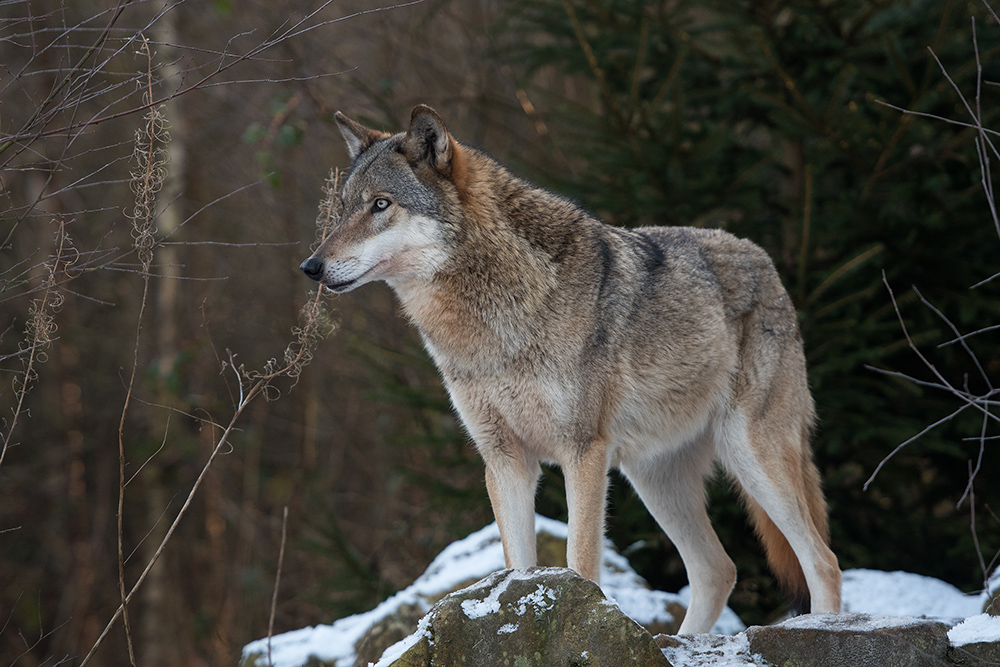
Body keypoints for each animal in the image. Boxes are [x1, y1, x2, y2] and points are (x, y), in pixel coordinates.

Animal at [300, 104, 840, 632]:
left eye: (381, 205)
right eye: (343, 209)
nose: (310, 267)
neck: (492, 323)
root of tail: (763, 259)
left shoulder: (582, 451)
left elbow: (580, 562)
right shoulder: (504, 459)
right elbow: (516, 565)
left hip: (750, 455)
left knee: (823, 561)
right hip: (653, 479)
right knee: (718, 569)